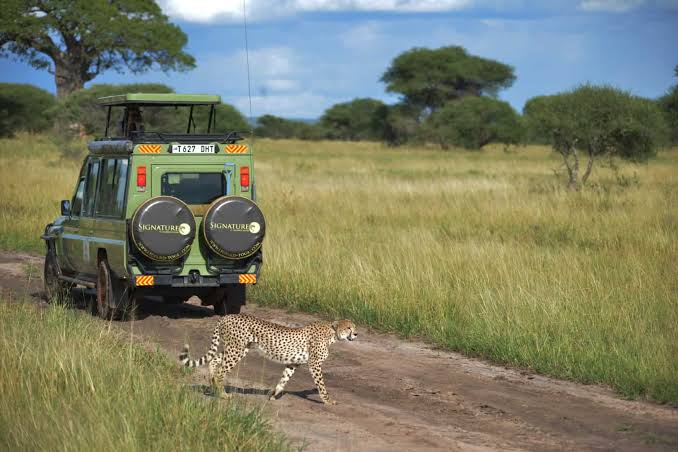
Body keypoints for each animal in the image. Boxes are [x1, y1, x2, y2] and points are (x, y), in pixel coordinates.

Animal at [179, 314, 357, 405]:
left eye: (354, 327)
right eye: (349, 327)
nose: (356, 334)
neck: (332, 334)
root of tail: (227, 316)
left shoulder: (293, 363)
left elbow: (284, 379)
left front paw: (273, 395)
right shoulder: (314, 364)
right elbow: (321, 384)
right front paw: (328, 400)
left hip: (237, 348)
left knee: (214, 361)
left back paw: (212, 384)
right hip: (236, 349)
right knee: (221, 370)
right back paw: (223, 394)